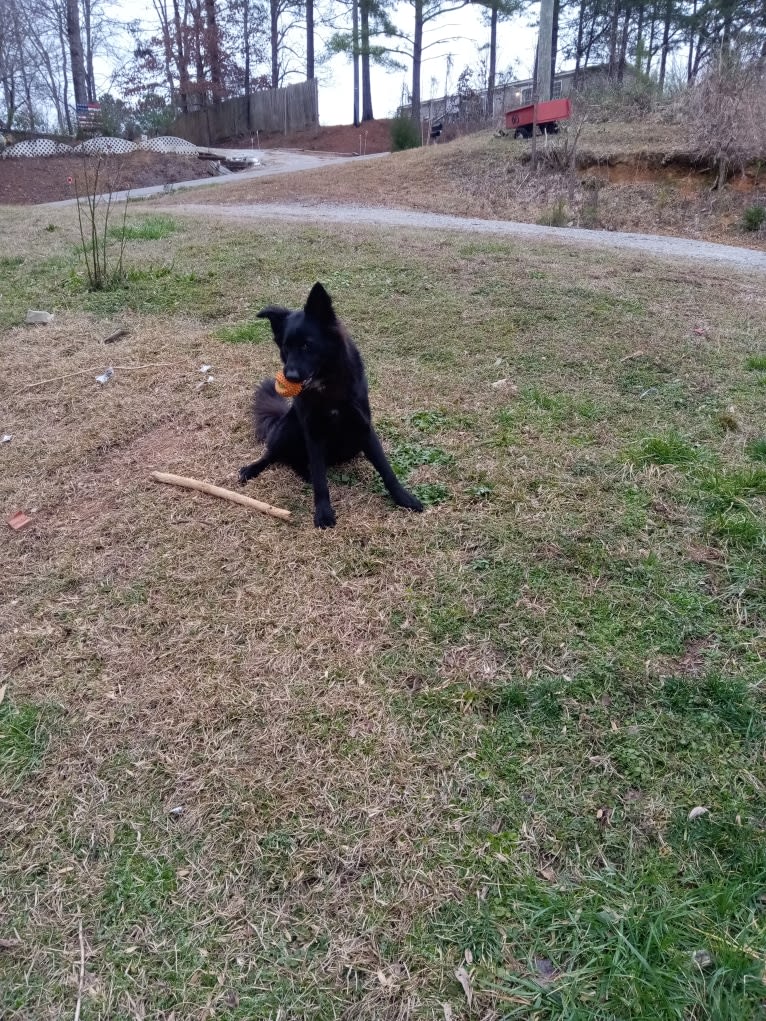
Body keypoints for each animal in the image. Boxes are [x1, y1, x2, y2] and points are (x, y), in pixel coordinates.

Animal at [238, 283, 426, 530]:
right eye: (286, 347)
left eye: (307, 345)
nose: (289, 376)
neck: (326, 385)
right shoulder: (313, 432)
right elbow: (320, 479)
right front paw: (324, 512)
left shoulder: (363, 428)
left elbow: (386, 469)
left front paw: (404, 498)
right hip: (289, 427)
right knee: (275, 454)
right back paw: (253, 468)